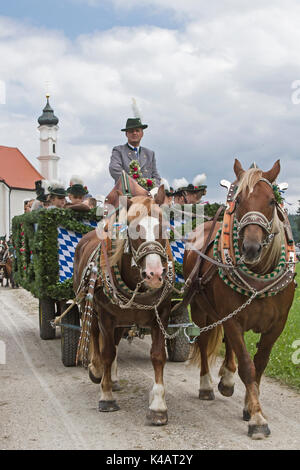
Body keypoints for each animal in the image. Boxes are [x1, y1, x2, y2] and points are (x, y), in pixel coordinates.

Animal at [73, 186, 175, 426]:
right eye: (134, 228)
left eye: (164, 227)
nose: (155, 274)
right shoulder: (106, 316)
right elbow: (107, 352)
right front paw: (106, 395)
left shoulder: (161, 315)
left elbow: (158, 356)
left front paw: (158, 407)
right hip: (93, 308)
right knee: (94, 336)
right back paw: (97, 370)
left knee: (116, 343)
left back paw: (113, 377)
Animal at [183, 160, 296, 438]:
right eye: (239, 201)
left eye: (271, 201)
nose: (251, 249)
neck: (260, 273)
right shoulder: (232, 318)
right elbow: (247, 365)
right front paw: (257, 418)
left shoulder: (277, 325)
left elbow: (259, 364)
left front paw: (248, 406)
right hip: (200, 309)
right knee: (203, 342)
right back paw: (207, 386)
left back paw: (226, 378)